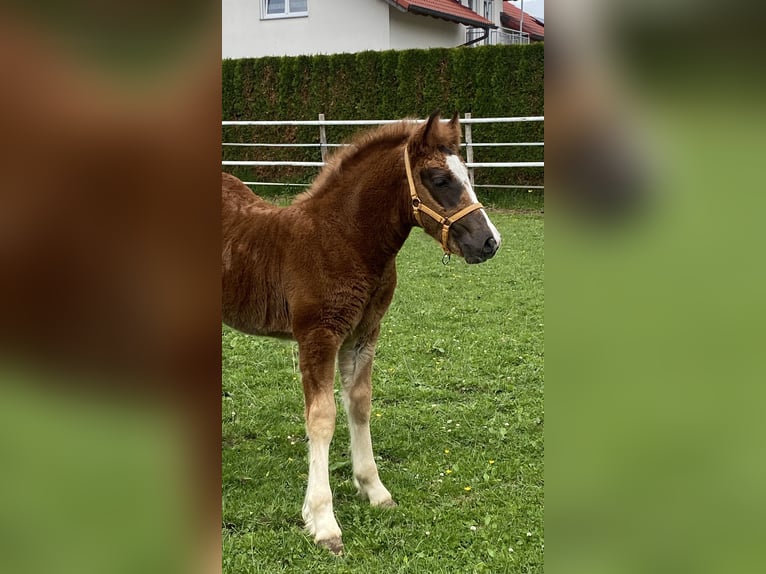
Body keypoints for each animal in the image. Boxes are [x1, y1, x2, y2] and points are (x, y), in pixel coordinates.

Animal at [221, 111, 501, 554]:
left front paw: (373, 488)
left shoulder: (364, 334)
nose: (489, 242)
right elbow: (321, 418)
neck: (341, 239)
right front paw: (323, 521)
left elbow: (359, 404)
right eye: (439, 178)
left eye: (465, 172)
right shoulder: (317, 336)